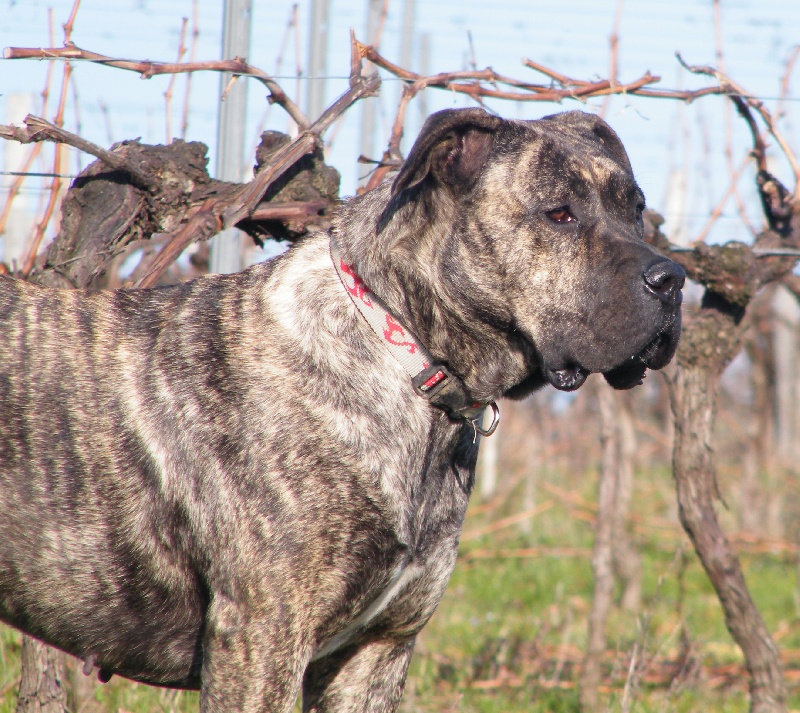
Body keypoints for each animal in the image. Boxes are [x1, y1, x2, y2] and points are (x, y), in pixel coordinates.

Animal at [1, 108, 688, 708]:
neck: (406, 358)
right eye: (559, 214)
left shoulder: (378, 650)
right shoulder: (262, 640)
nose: (673, 280)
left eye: (636, 207)